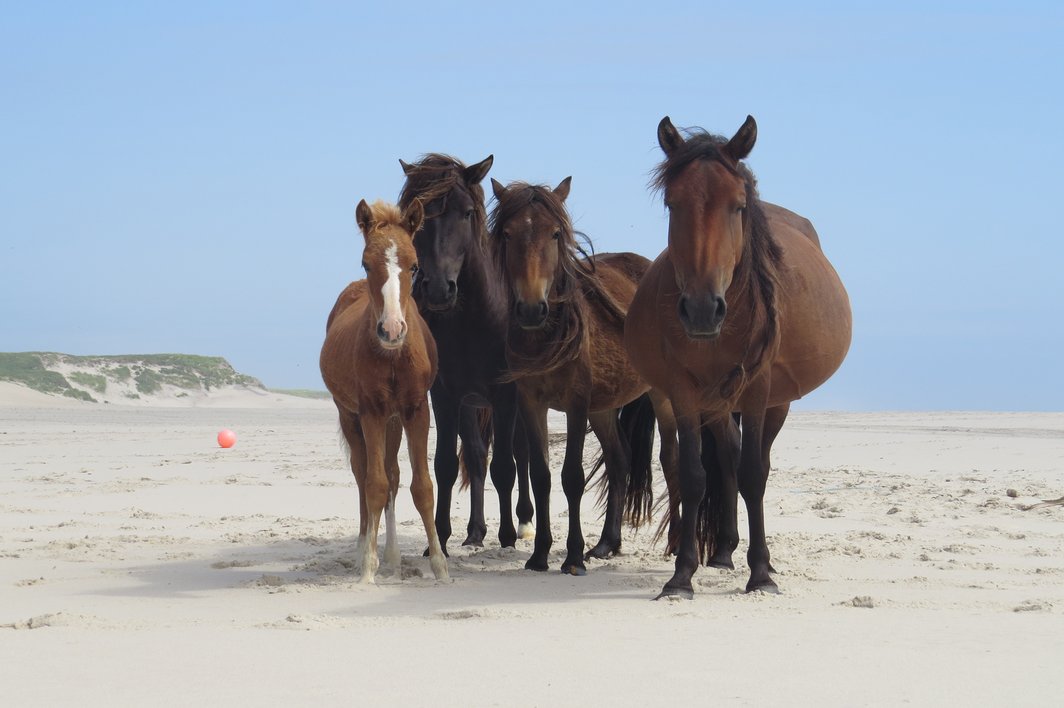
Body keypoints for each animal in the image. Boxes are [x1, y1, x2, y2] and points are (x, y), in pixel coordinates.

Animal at [320, 198, 448, 584]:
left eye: (415, 265)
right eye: (366, 262)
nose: (391, 329)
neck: (393, 355)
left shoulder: (416, 410)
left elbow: (422, 487)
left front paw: (441, 568)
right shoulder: (372, 412)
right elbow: (373, 484)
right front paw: (367, 569)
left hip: (394, 421)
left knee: (392, 474)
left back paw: (392, 555)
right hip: (350, 416)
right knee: (363, 475)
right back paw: (365, 548)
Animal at [397, 154, 533, 553]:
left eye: (468, 212)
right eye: (416, 215)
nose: (439, 289)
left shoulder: (506, 394)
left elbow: (506, 465)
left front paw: (507, 535)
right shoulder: (445, 394)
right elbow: (445, 464)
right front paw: (439, 538)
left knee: (521, 452)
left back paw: (523, 523)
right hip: (471, 404)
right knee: (474, 455)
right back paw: (475, 531)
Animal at [489, 177, 677, 575]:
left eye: (556, 233)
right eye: (508, 234)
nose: (532, 309)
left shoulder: (575, 403)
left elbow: (571, 477)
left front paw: (573, 556)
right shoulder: (532, 403)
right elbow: (542, 476)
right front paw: (540, 554)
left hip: (661, 396)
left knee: (672, 461)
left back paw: (675, 542)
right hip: (602, 408)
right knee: (619, 461)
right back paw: (606, 544)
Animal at [624, 115, 852, 598]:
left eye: (738, 205)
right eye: (672, 203)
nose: (702, 309)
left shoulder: (758, 387)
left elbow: (753, 475)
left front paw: (761, 572)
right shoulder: (684, 390)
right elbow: (695, 475)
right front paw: (682, 574)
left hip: (775, 402)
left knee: (754, 460)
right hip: (717, 402)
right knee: (726, 455)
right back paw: (724, 550)